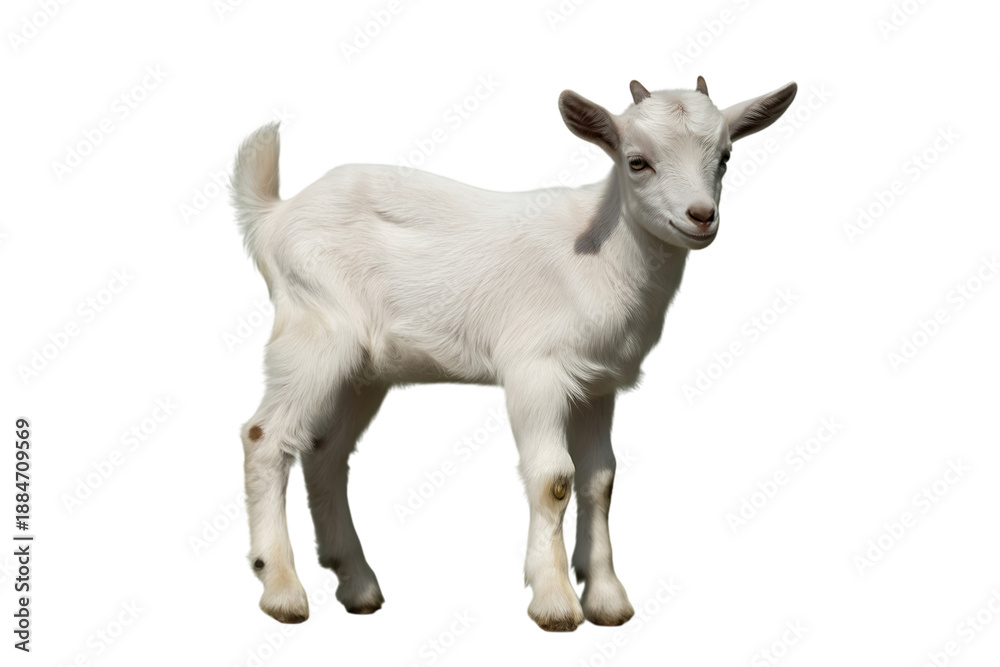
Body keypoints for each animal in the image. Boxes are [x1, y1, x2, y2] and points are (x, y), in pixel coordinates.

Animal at [230, 75, 797, 630]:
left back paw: (358, 585)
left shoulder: (598, 385)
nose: (701, 217)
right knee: (266, 437)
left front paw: (607, 599)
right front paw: (555, 602)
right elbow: (554, 478)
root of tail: (273, 216)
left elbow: (600, 480)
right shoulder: (535, 369)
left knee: (326, 453)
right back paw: (282, 590)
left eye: (725, 156)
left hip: (364, 369)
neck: (603, 250)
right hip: (316, 330)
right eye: (637, 161)